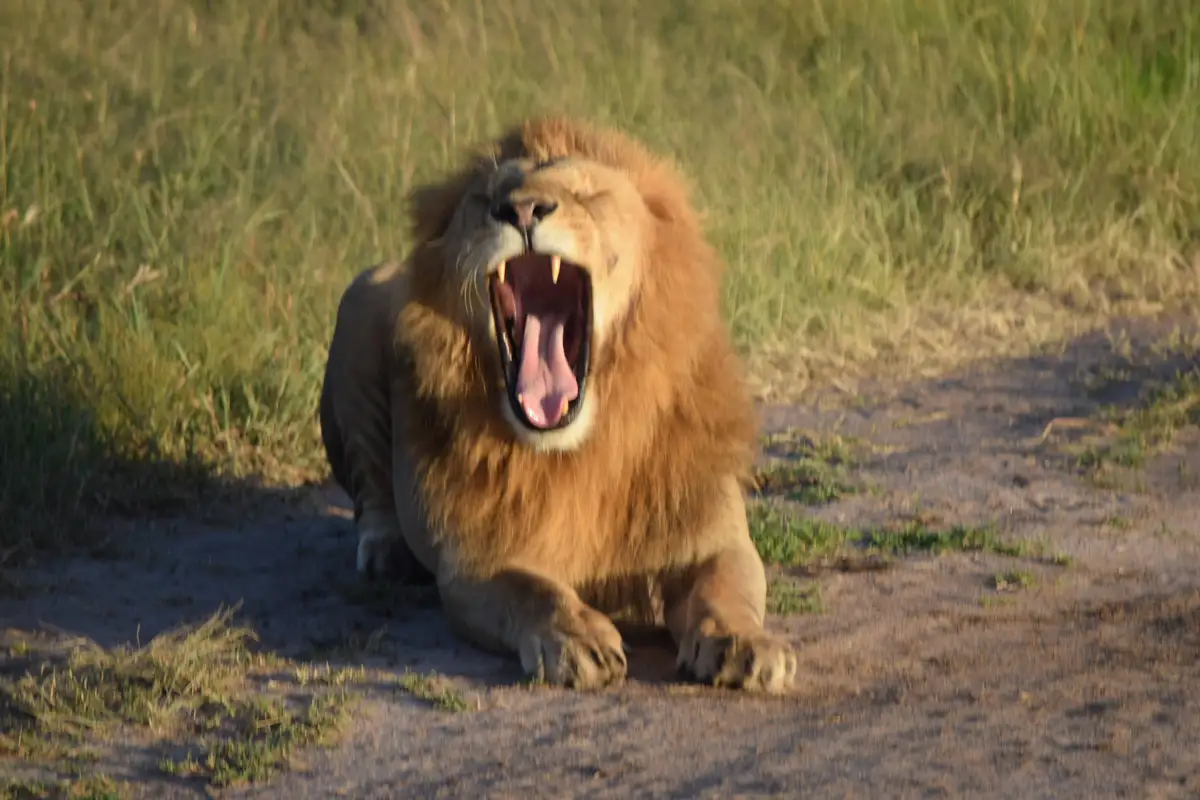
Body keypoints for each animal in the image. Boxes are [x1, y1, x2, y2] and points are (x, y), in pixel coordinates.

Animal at [318, 117, 797, 692]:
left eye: (586, 194)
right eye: (488, 198)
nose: (522, 210)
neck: (581, 446)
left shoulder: (714, 531)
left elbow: (725, 586)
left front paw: (743, 644)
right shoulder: (475, 561)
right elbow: (534, 592)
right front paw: (577, 639)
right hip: (361, 296)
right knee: (371, 493)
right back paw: (387, 551)